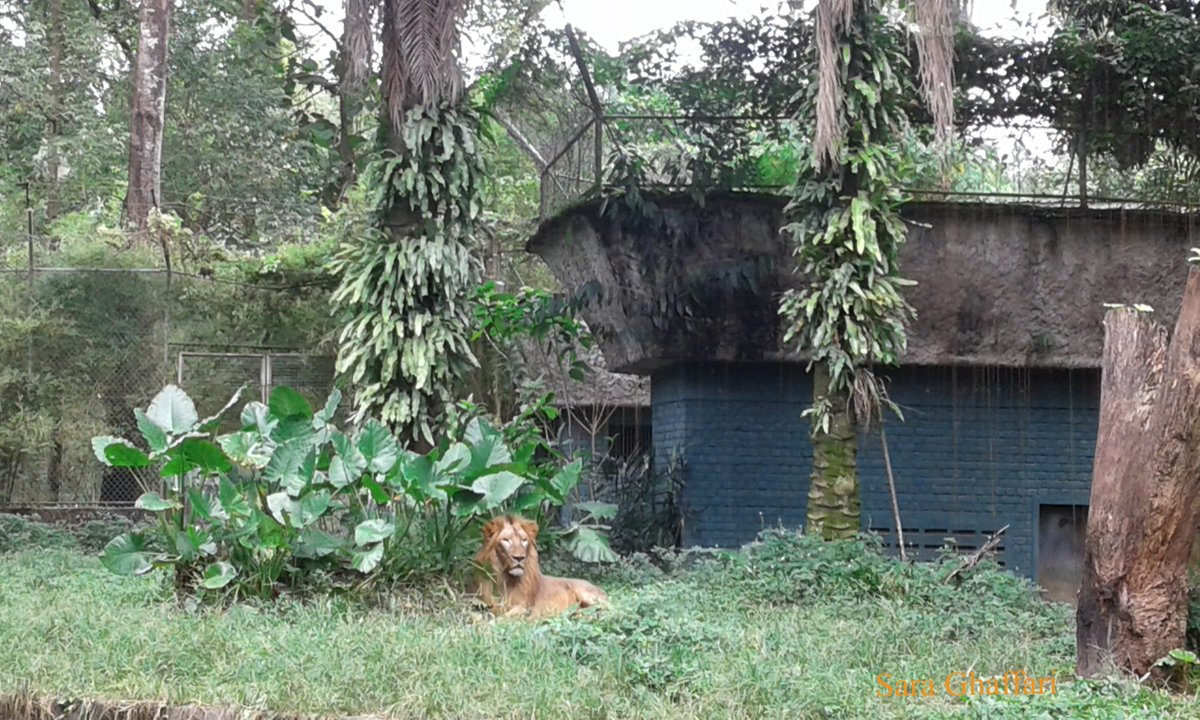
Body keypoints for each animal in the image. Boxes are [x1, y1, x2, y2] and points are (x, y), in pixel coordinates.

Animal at [472, 511, 609, 619]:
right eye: (506, 540)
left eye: (524, 540)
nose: (519, 558)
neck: (504, 579)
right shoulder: (483, 604)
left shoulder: (524, 608)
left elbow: (502, 619)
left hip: (589, 595)